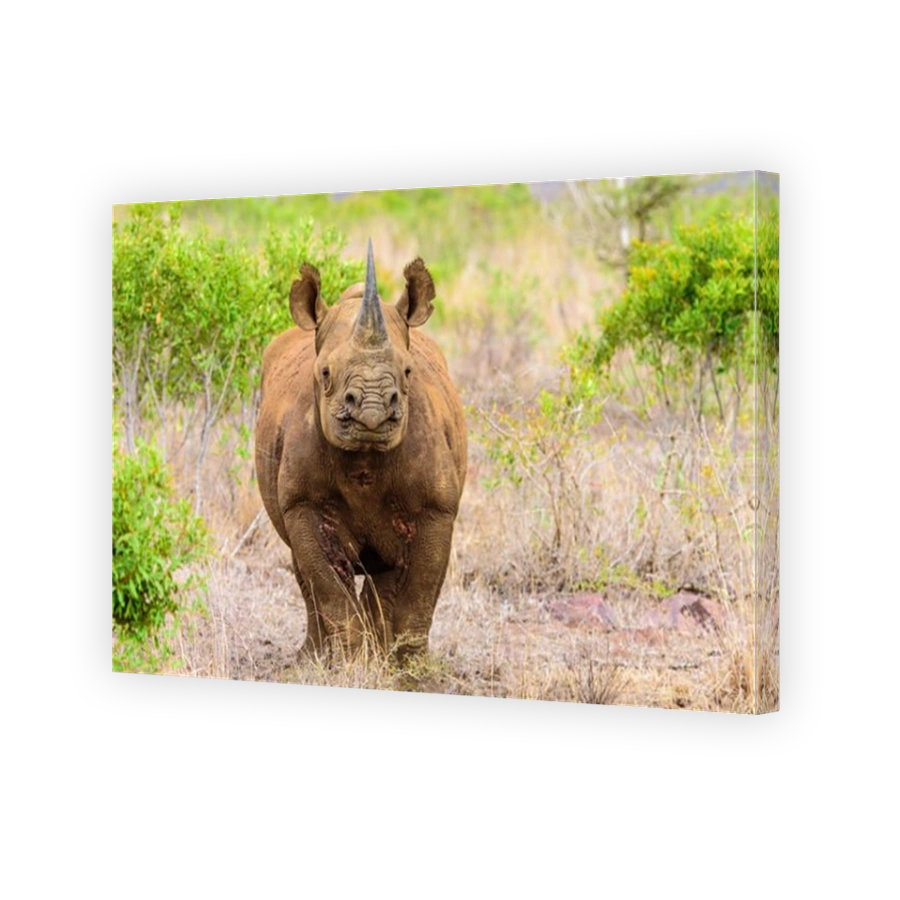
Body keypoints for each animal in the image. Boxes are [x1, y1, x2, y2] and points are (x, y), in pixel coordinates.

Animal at [255, 240, 467, 662]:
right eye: (325, 373)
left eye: (408, 372)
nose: (372, 410)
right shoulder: (302, 504)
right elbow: (327, 586)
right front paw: (350, 662)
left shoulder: (437, 507)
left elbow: (420, 590)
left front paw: (411, 666)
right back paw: (313, 657)